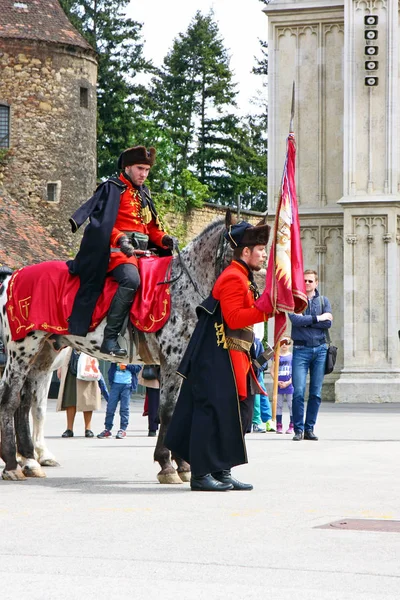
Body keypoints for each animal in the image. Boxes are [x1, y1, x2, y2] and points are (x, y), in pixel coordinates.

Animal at [0, 218, 231, 480]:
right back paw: (11, 464)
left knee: (26, 403)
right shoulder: (172, 364)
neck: (182, 290)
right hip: (21, 352)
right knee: (9, 400)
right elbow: (169, 411)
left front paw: (182, 465)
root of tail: (11, 278)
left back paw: (30, 460)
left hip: (42, 355)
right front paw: (167, 464)